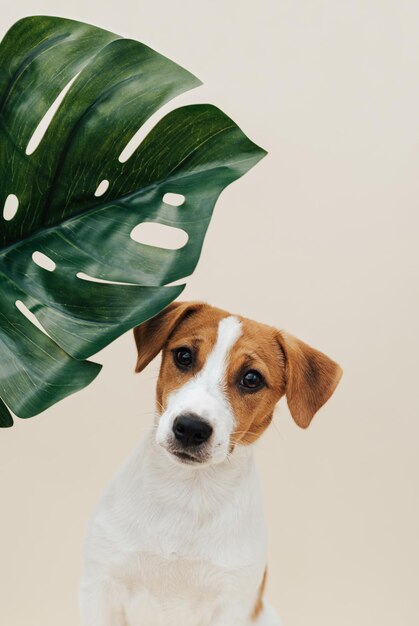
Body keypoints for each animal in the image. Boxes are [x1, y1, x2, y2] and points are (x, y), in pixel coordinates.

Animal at [80, 300, 342, 620]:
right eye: (184, 356)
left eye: (251, 378)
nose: (191, 428)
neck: (187, 491)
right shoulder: (99, 586)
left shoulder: (233, 601)